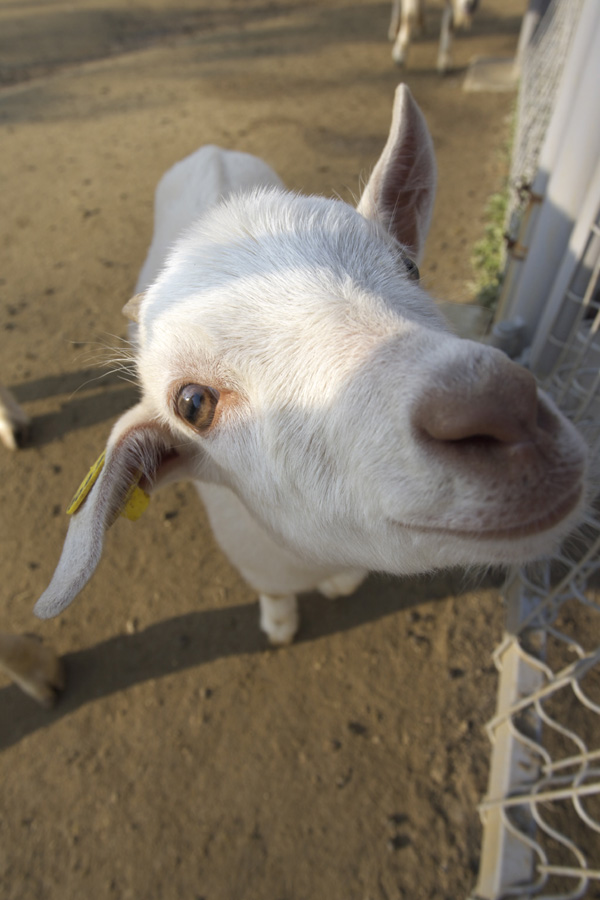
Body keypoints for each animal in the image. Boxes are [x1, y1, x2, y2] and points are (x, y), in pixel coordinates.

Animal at [31, 84, 584, 644]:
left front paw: (341, 585)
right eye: (192, 404)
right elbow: (275, 596)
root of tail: (211, 150)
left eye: (410, 266)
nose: (502, 407)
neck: (310, 560)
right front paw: (279, 625)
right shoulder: (259, 567)